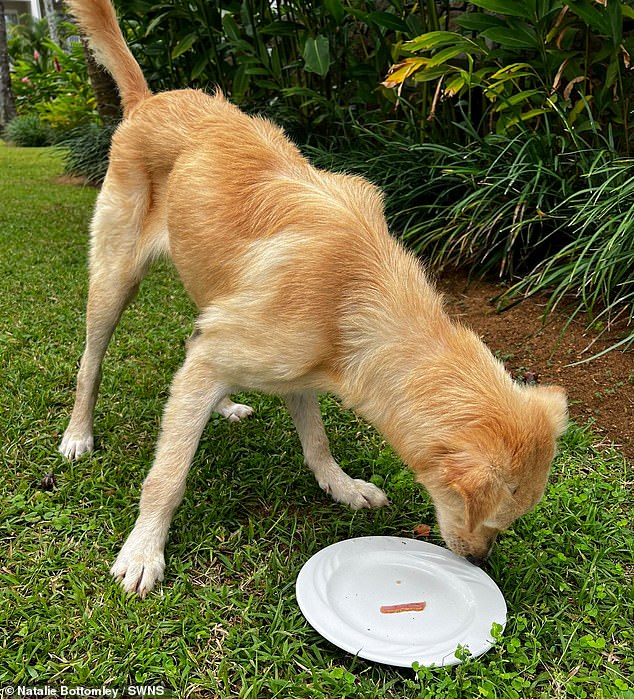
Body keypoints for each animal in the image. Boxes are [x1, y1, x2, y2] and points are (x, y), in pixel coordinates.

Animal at [60, 0, 568, 596]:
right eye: (491, 520)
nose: (480, 564)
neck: (357, 292)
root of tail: (148, 100)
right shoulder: (246, 355)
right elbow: (167, 476)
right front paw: (144, 550)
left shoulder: (290, 368)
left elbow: (317, 441)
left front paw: (341, 486)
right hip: (114, 278)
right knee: (90, 364)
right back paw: (78, 434)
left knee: (193, 346)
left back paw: (223, 406)